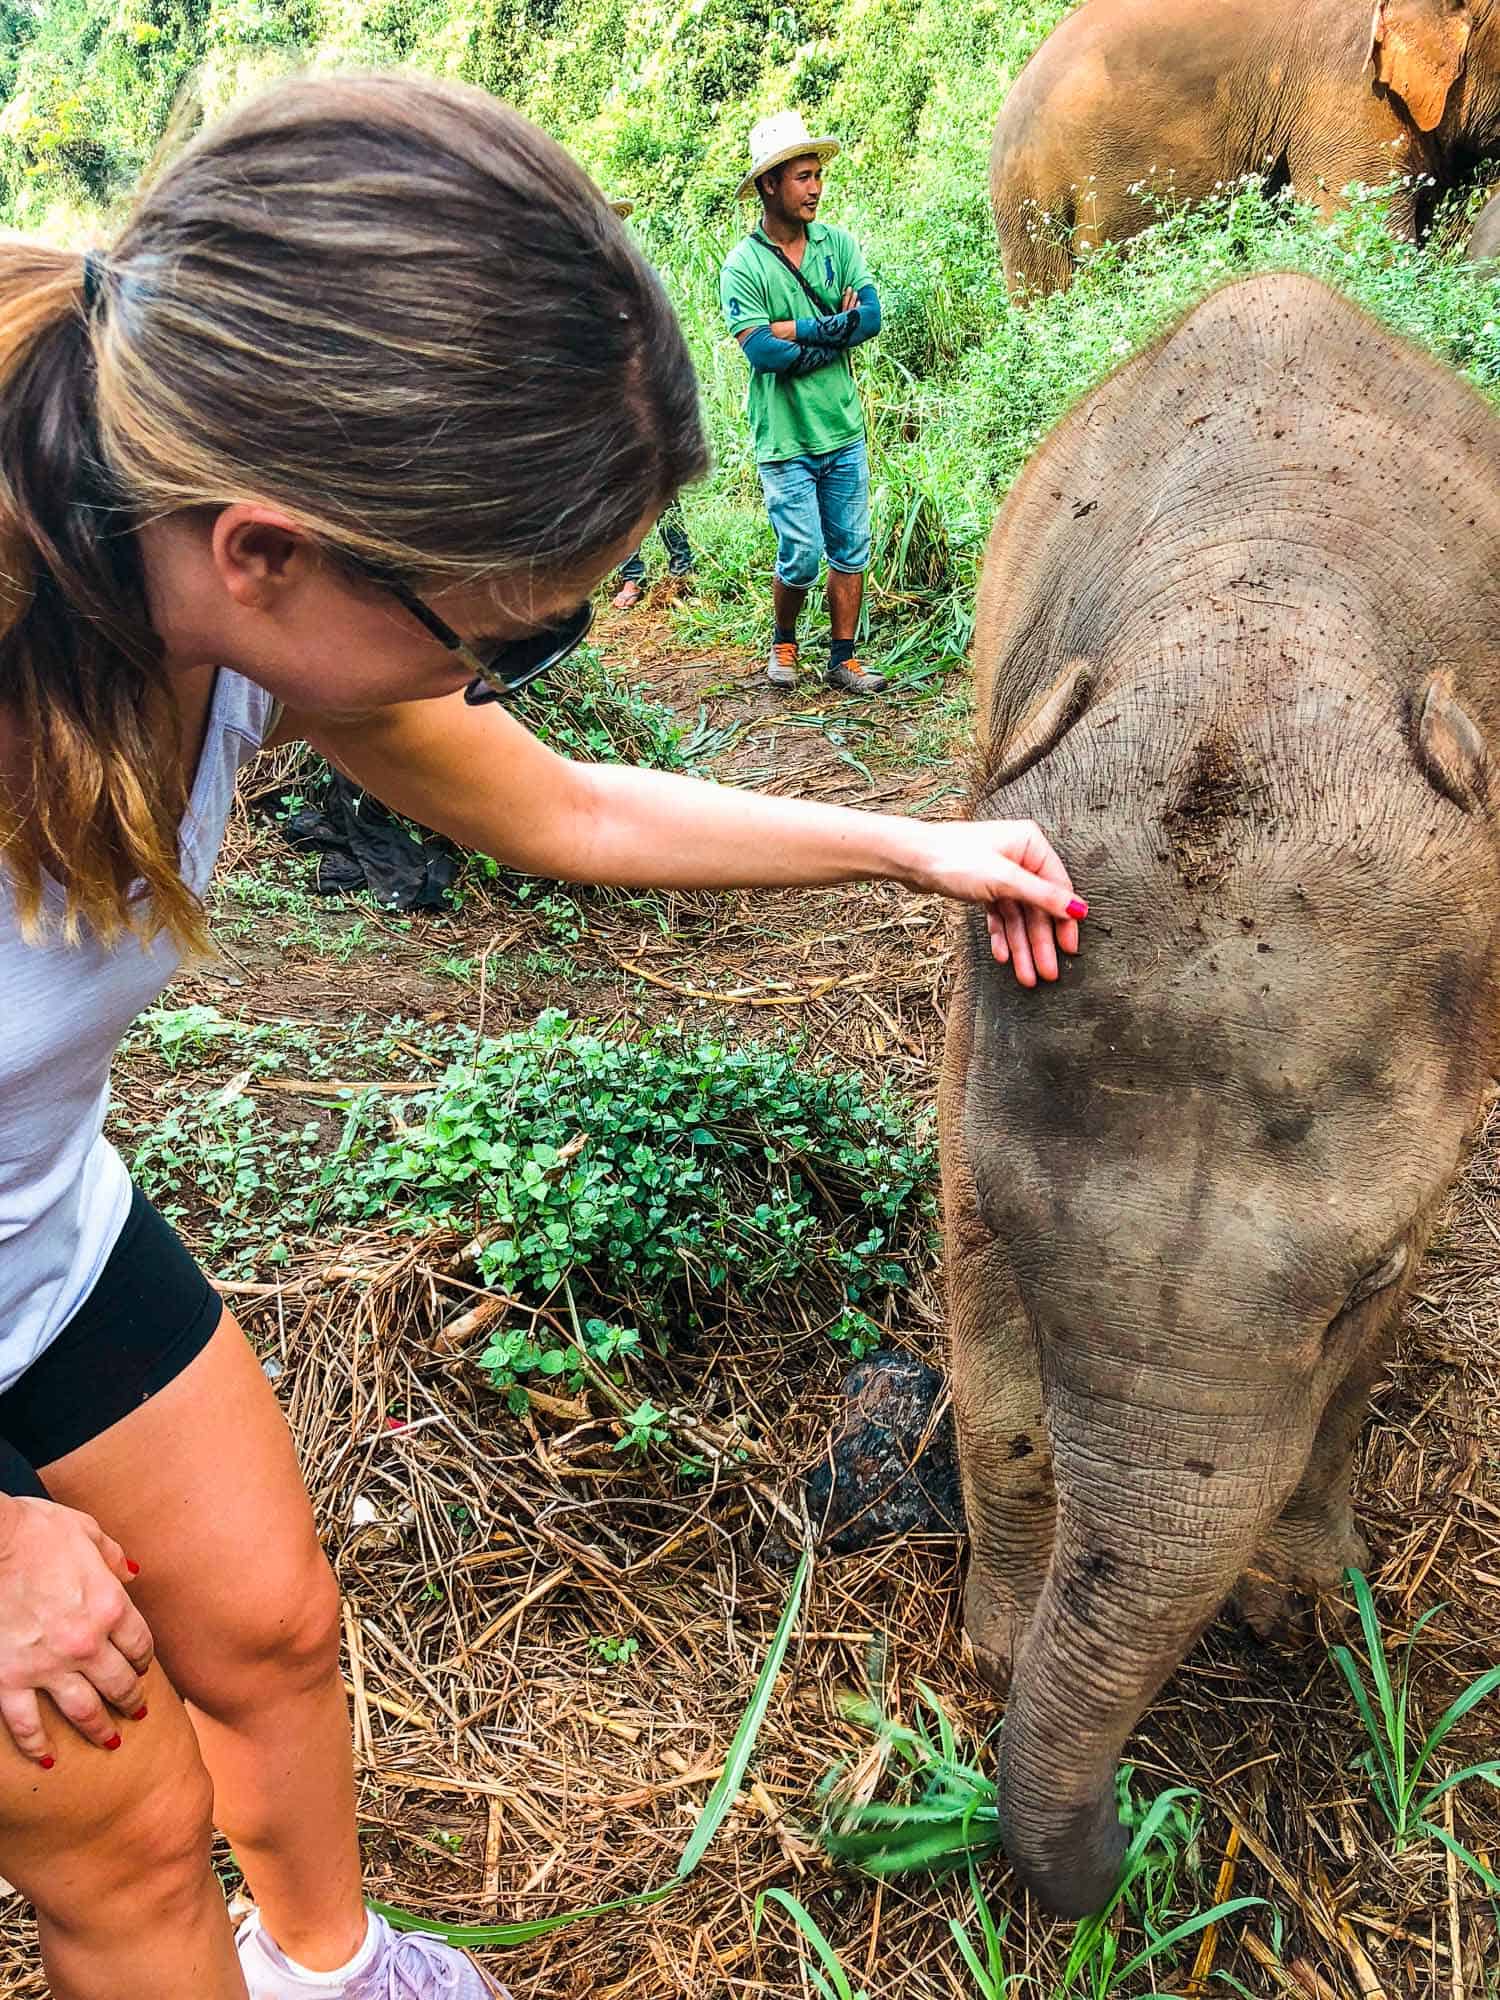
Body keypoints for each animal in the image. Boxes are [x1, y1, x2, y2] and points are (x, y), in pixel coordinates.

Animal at [944, 274, 1500, 1912]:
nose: (1144, 1832)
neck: (1267, 620)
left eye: (1362, 1277)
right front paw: (994, 1645)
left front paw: (1299, 1612)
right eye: (1019, 1234)